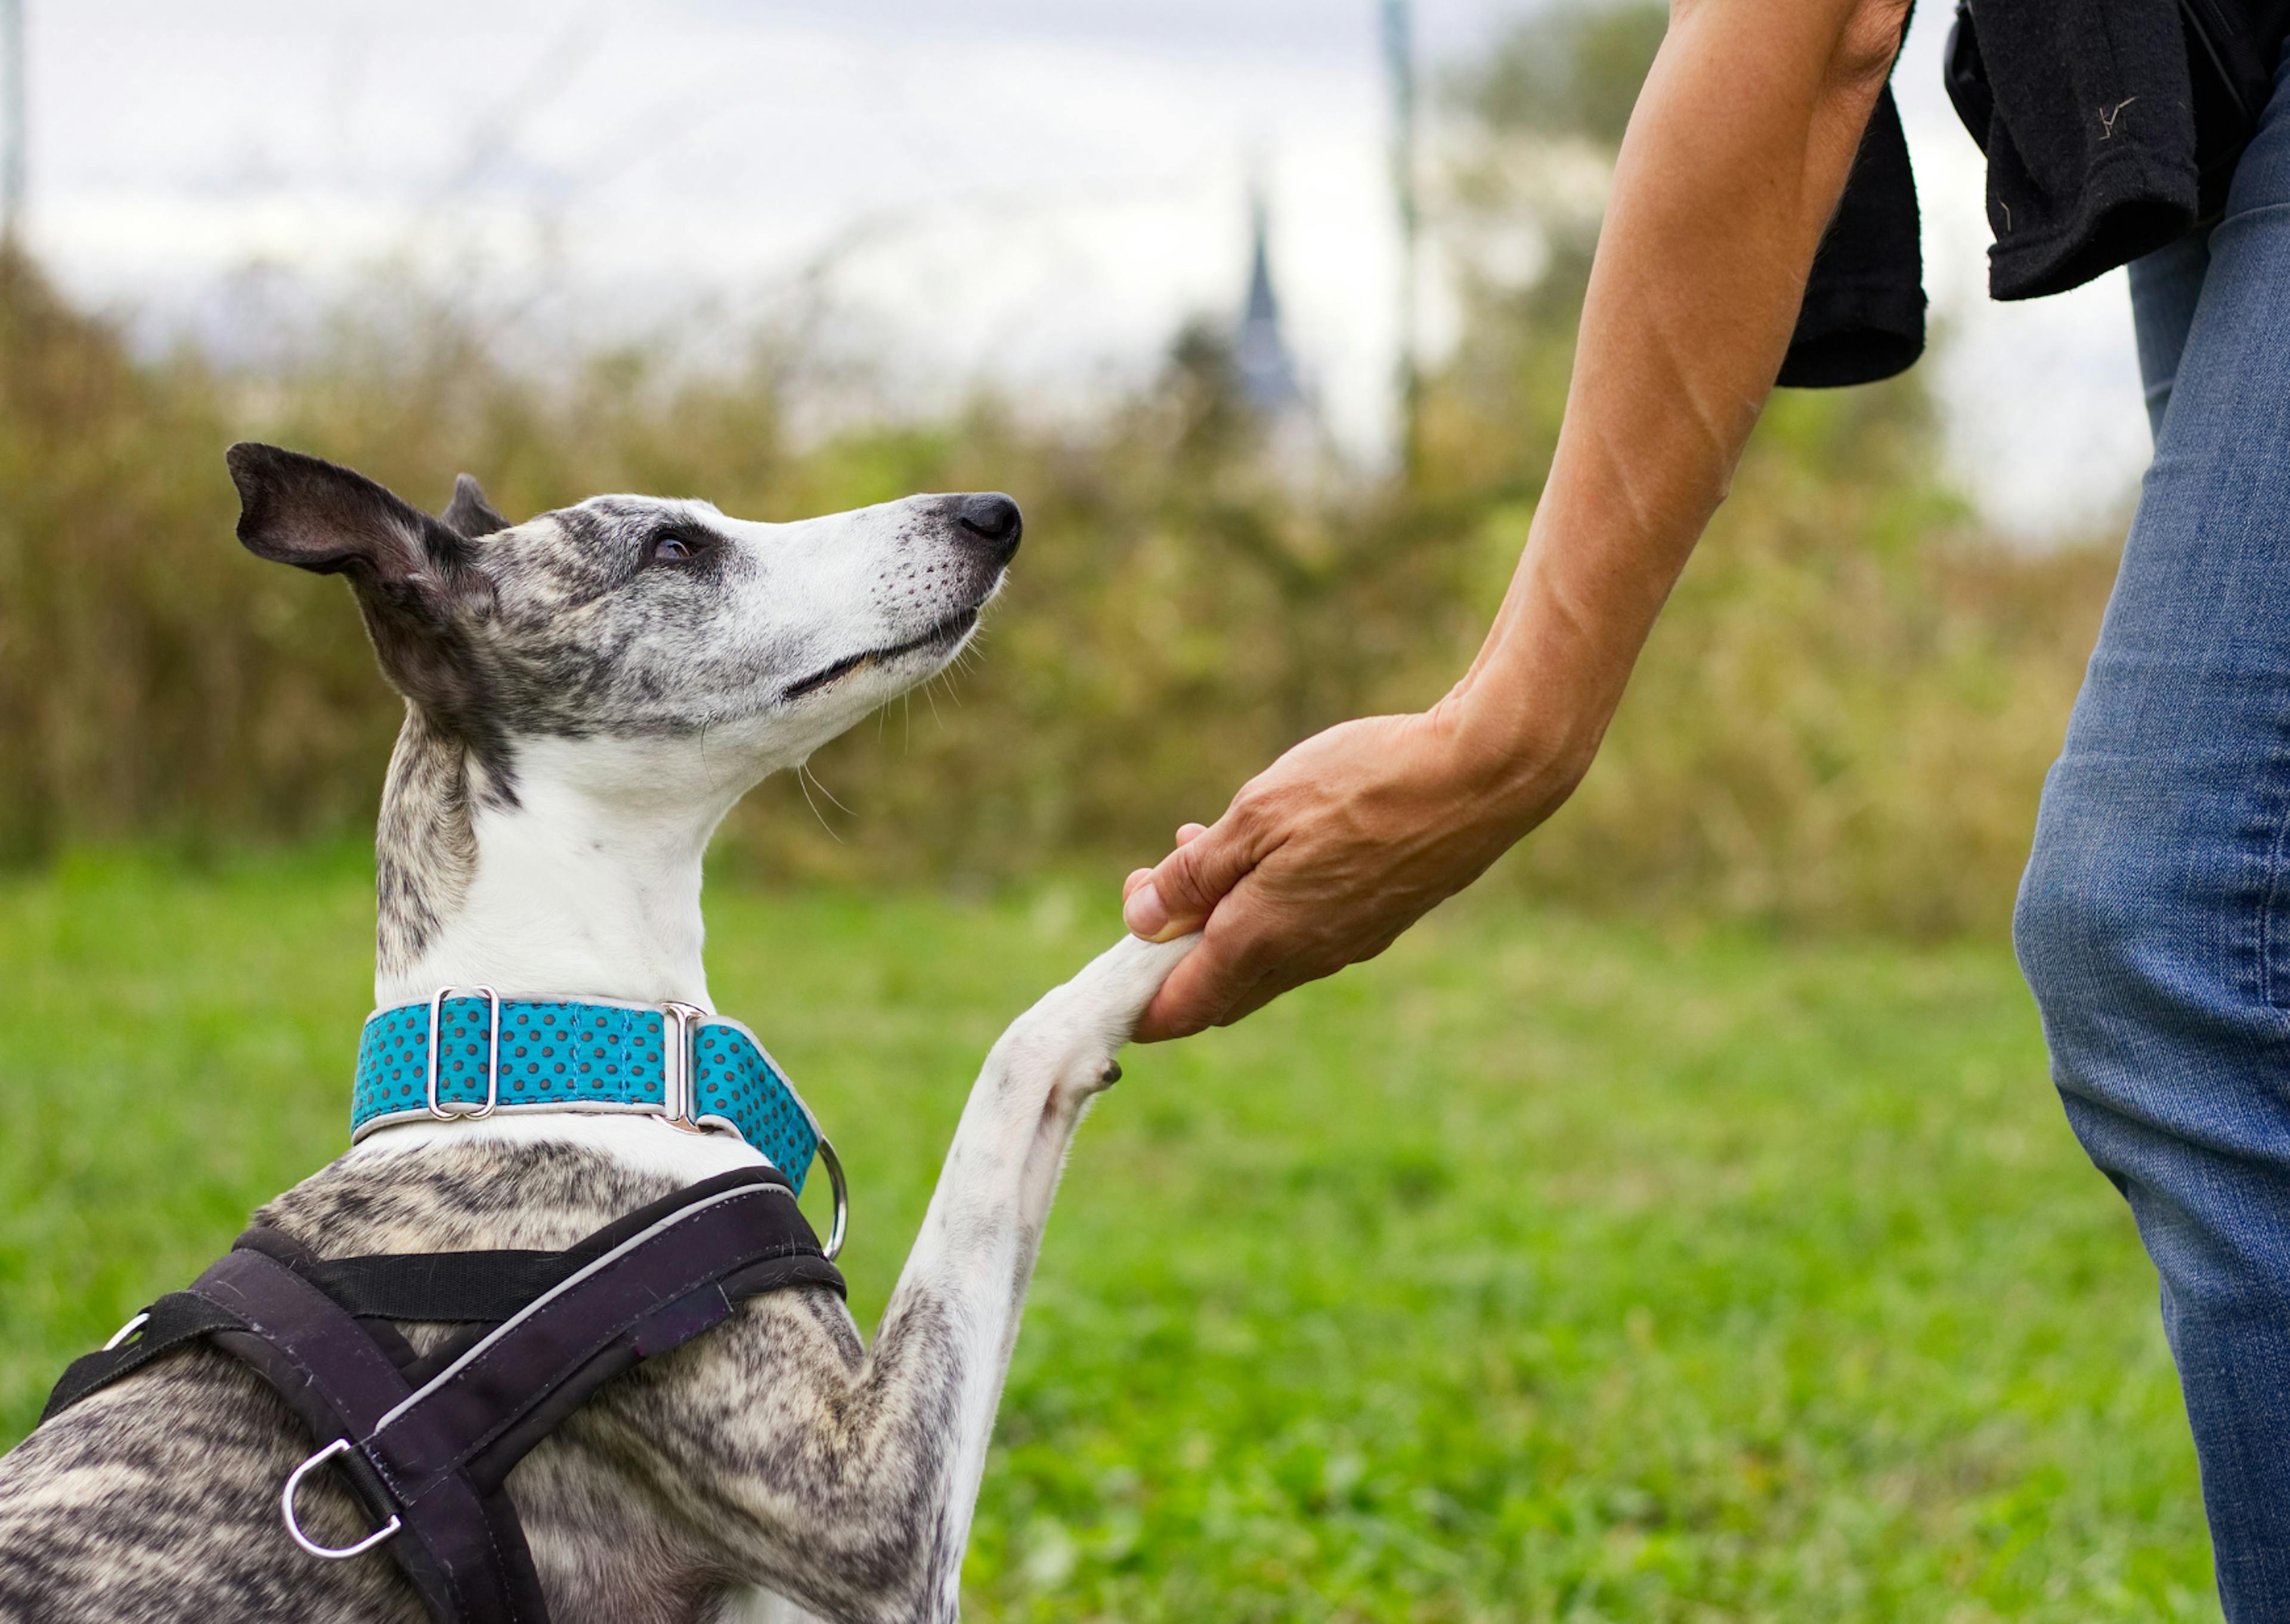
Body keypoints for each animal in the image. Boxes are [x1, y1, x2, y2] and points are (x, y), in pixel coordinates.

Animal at [0, 444, 1209, 1622]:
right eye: (672, 547)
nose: (993, 513)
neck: (556, 1054)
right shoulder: (871, 1509)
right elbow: (1014, 1066)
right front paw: (1191, 904)